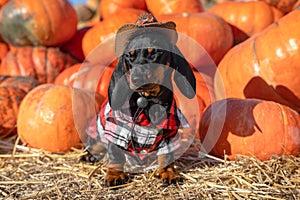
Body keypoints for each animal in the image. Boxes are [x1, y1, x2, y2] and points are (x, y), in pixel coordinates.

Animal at [82, 14, 196, 188]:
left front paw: (168, 173)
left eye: (155, 53)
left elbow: (166, 156)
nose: (136, 78)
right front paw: (114, 175)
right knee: (95, 144)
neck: (147, 101)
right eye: (130, 56)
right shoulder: (117, 128)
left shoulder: (168, 133)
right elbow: (115, 153)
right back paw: (89, 155)